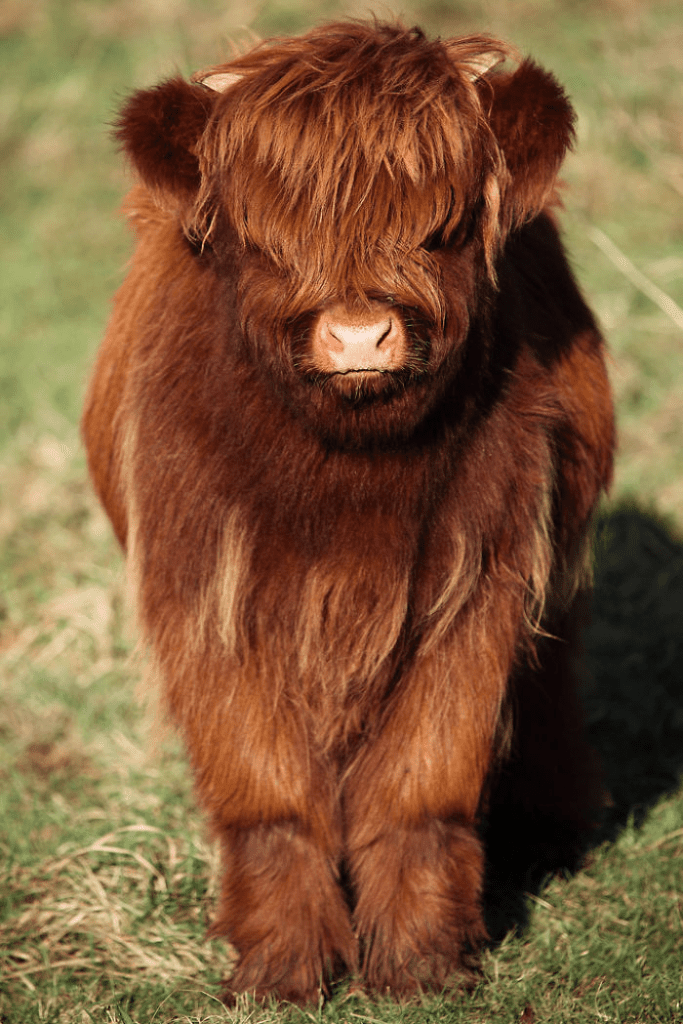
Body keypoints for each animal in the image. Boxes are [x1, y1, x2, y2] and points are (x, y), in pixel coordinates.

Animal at [82, 19, 618, 1003]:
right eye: (266, 240)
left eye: (441, 229)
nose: (359, 334)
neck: (347, 494)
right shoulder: (210, 596)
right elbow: (265, 792)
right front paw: (280, 965)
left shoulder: (477, 586)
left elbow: (422, 784)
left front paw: (421, 962)